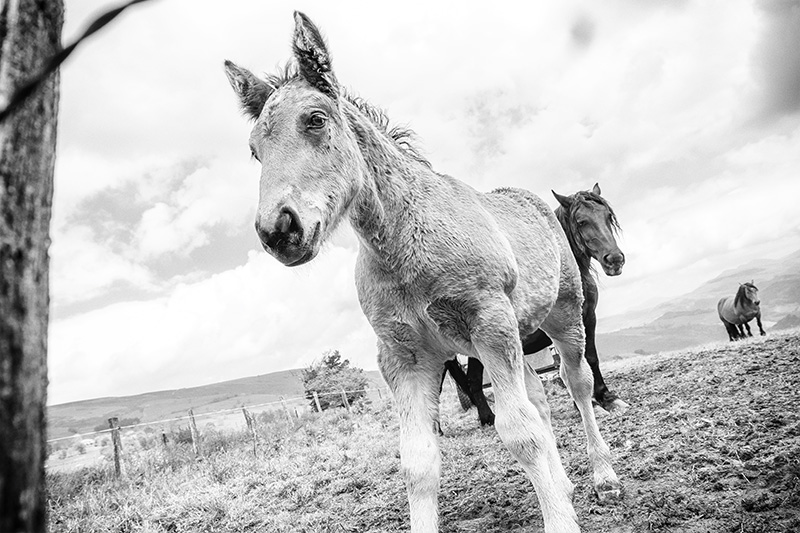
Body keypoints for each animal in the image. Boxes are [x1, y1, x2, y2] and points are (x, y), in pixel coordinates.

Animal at [446, 183, 628, 424]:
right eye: (581, 221)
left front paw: (607, 398)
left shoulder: (589, 319)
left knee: (473, 381)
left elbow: (591, 358)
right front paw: (588, 405)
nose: (615, 260)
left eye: (608, 216)